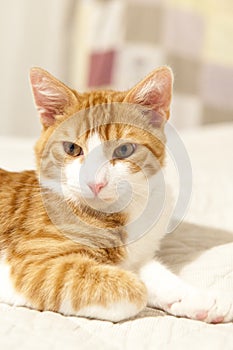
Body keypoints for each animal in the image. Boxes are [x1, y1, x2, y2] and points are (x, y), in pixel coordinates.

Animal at [0, 65, 233, 322]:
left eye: (124, 150)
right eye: (72, 149)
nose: (95, 183)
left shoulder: (135, 258)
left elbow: (153, 273)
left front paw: (198, 297)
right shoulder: (35, 265)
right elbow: (135, 289)